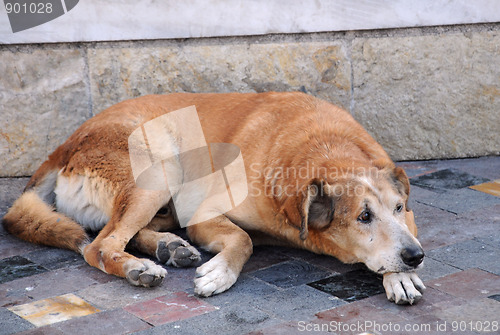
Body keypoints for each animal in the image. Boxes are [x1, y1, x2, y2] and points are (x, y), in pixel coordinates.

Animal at [3, 93, 426, 306]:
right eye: (363, 217)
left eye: (398, 208)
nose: (415, 258)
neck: (324, 149)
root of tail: (65, 144)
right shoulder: (204, 211)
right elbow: (244, 238)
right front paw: (220, 272)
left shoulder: (409, 219)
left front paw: (401, 277)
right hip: (160, 168)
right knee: (101, 244)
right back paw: (139, 267)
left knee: (128, 232)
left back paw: (169, 247)